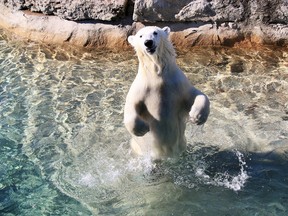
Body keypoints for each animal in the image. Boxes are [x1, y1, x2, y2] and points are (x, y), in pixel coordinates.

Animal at [124, 26, 209, 159]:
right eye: (140, 36)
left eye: (155, 32)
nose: (148, 42)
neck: (157, 77)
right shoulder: (141, 88)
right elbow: (130, 105)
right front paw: (142, 128)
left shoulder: (177, 84)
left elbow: (196, 94)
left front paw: (197, 116)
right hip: (136, 148)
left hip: (183, 145)